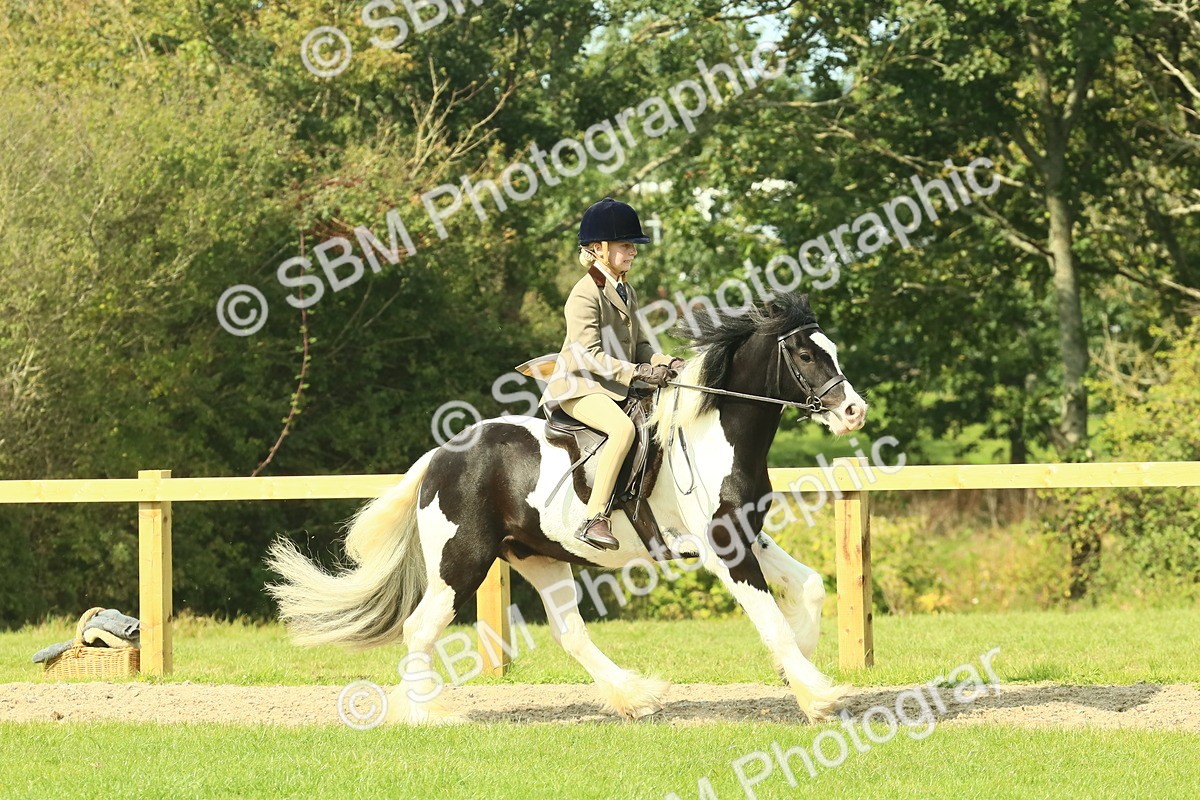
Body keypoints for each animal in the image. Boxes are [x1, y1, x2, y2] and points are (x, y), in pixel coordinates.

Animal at [267, 291, 868, 723]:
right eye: (807, 354)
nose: (854, 412)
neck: (711, 432)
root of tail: (441, 455)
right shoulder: (723, 548)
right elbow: (770, 619)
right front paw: (817, 696)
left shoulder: (749, 535)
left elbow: (808, 589)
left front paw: (802, 669)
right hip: (461, 562)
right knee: (421, 627)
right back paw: (424, 715)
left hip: (540, 556)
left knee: (569, 633)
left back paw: (636, 696)